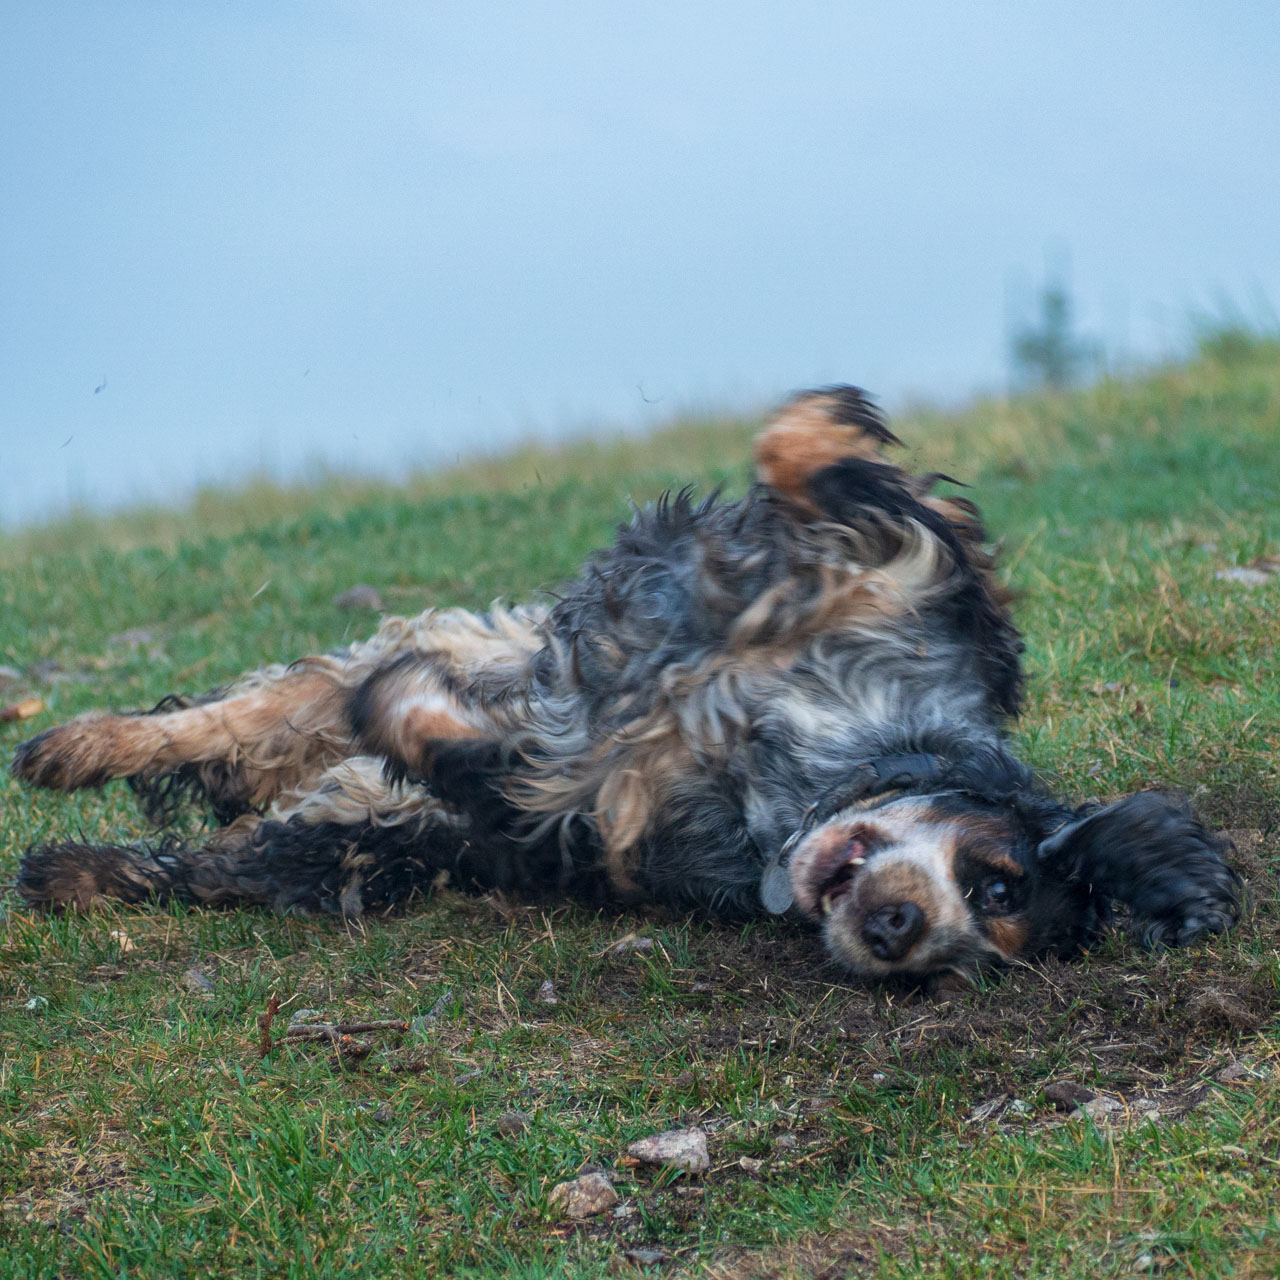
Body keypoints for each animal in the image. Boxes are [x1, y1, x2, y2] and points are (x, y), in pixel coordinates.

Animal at [10, 389, 1233, 977]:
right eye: (993, 878)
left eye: (986, 929)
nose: (898, 930)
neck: (797, 774)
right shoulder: (917, 575)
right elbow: (821, 457)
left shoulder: (565, 820)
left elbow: (489, 757)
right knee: (255, 711)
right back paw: (72, 745)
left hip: (373, 832)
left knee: (241, 830)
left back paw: (75, 858)